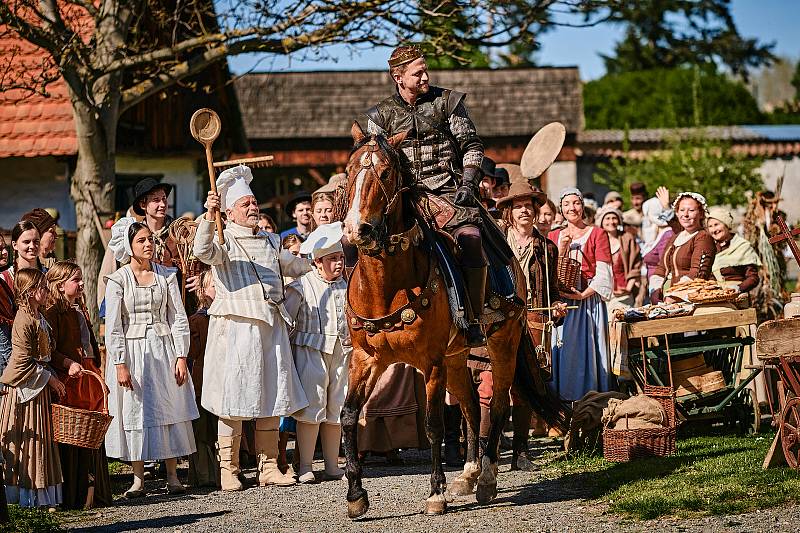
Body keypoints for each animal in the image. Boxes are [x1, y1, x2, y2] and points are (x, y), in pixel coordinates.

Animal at [340, 122, 564, 516]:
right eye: (350, 171)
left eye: (386, 172)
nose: (358, 229)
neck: (387, 285)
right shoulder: (367, 360)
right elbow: (350, 416)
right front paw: (355, 495)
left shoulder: (430, 363)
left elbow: (433, 424)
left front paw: (435, 493)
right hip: (457, 358)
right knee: (471, 406)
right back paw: (469, 473)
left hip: (501, 344)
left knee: (498, 403)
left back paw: (486, 477)